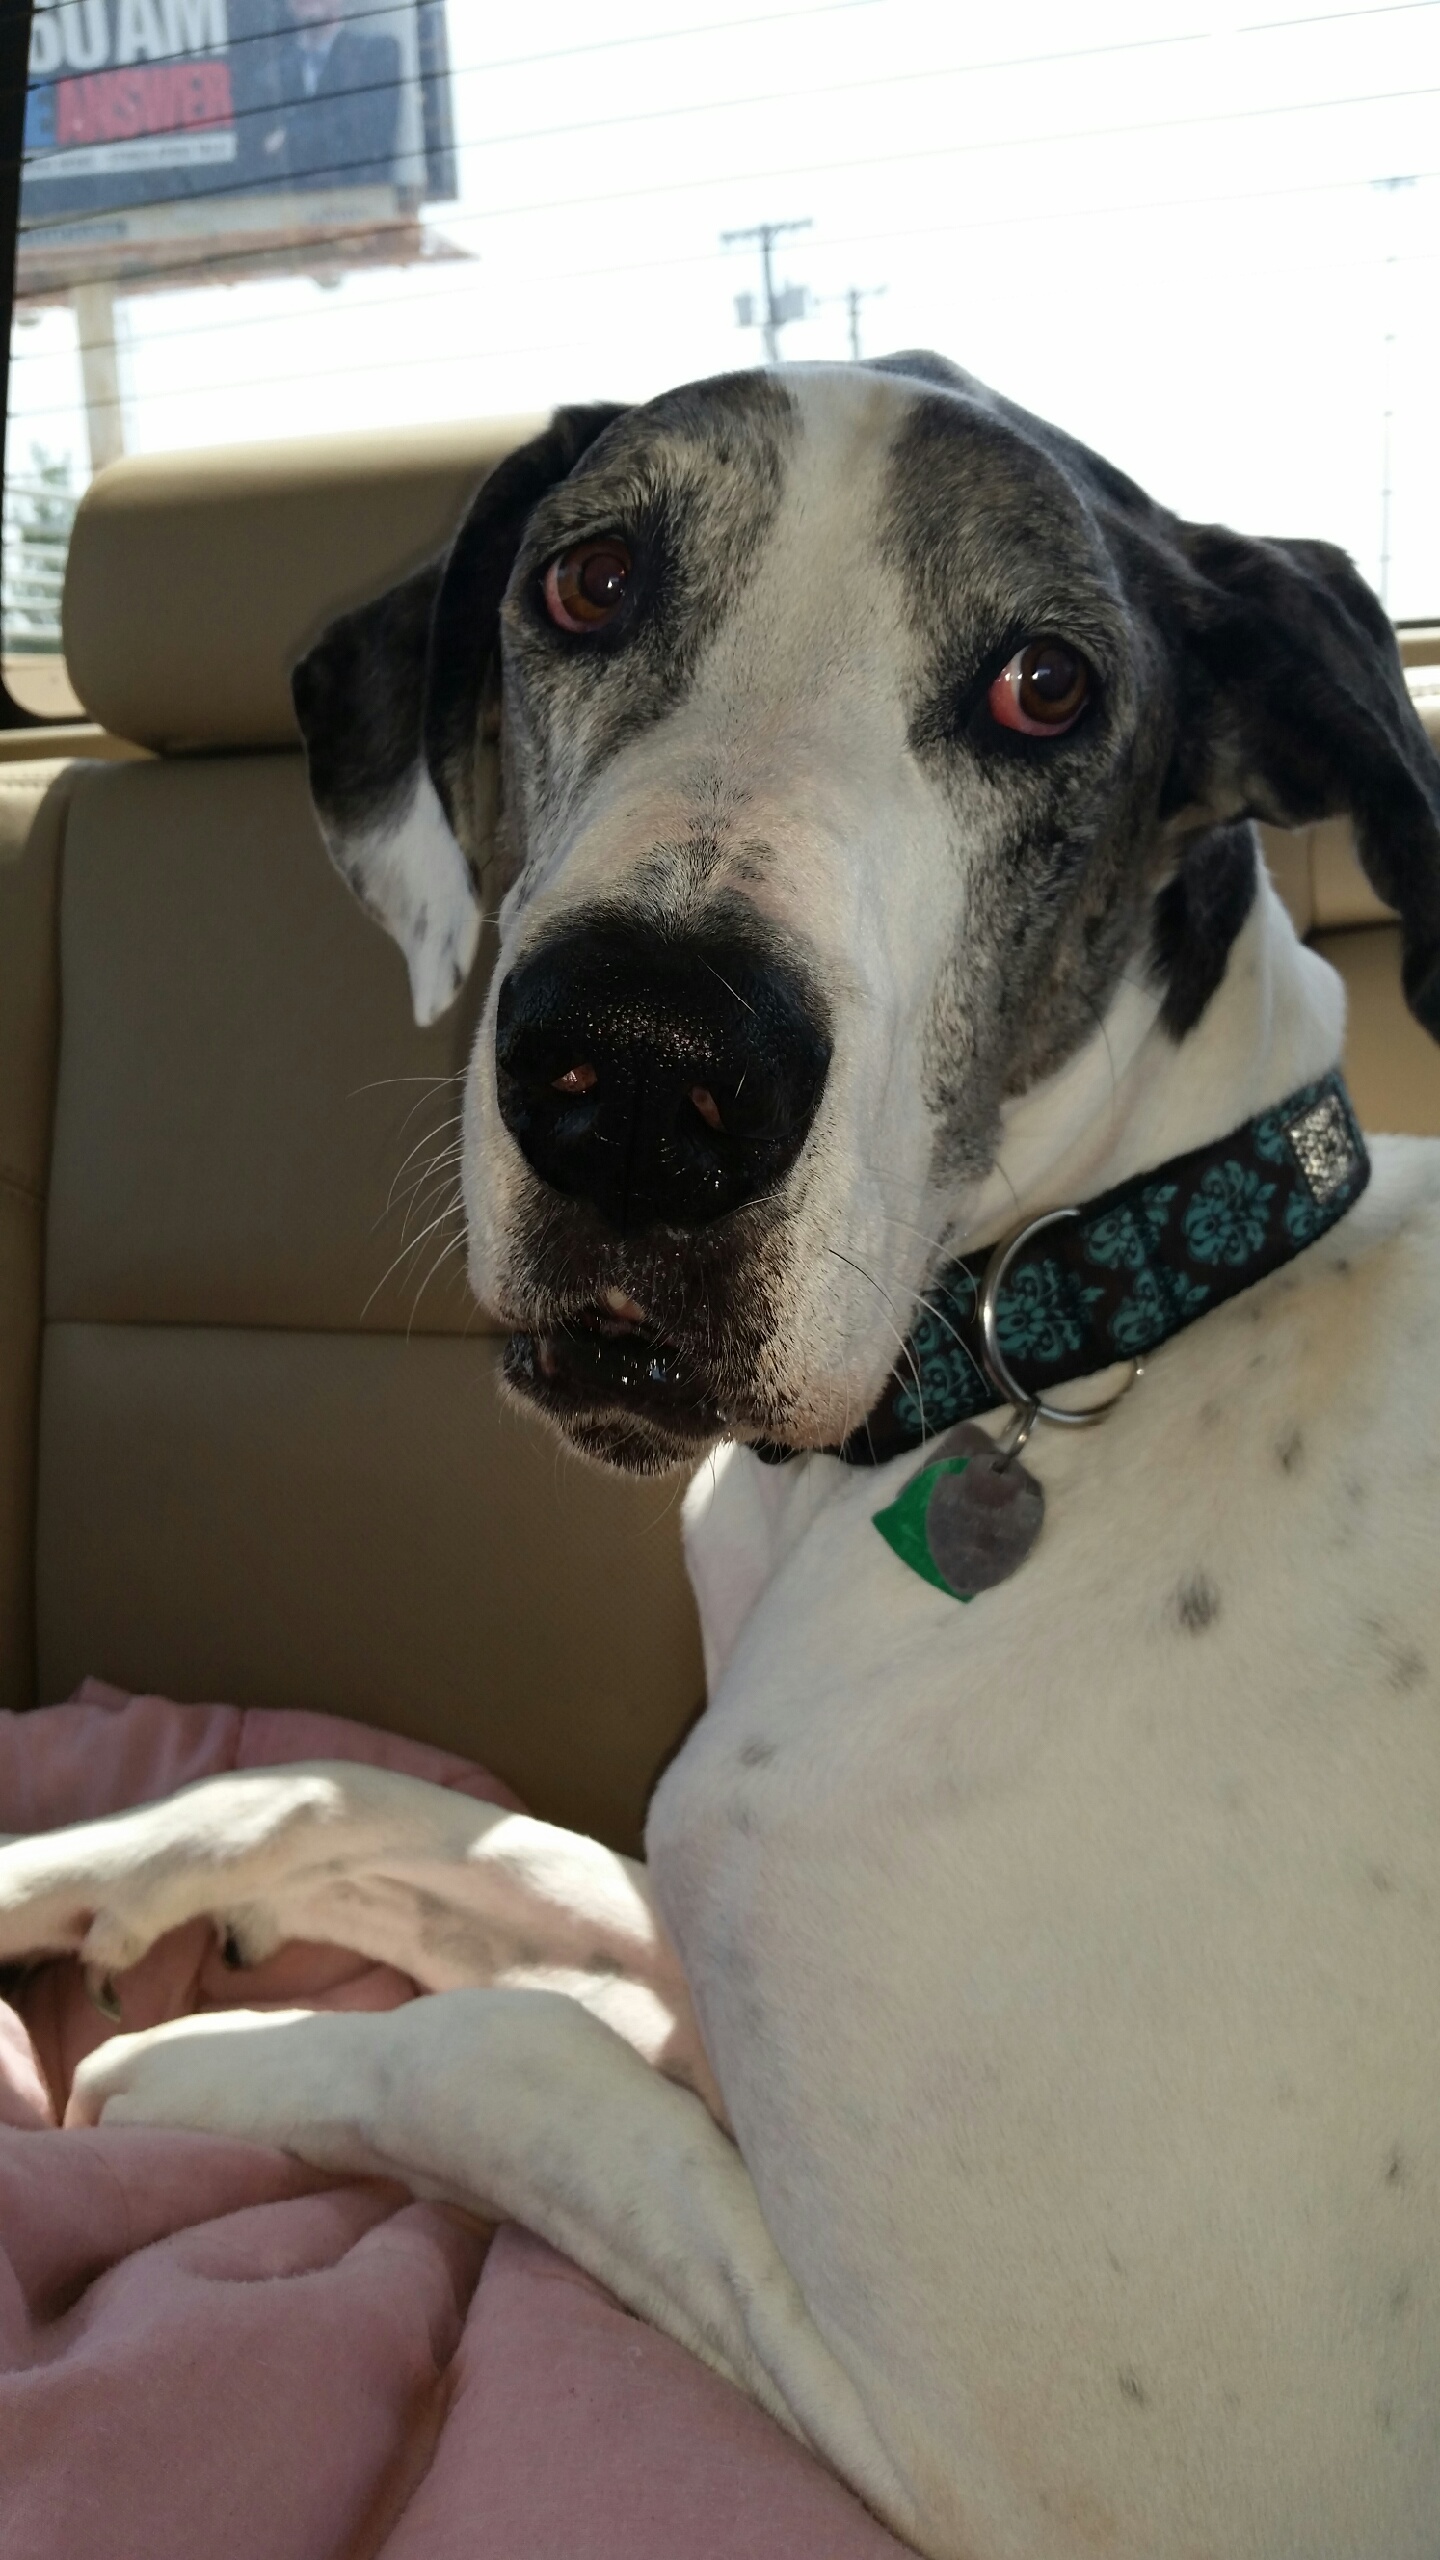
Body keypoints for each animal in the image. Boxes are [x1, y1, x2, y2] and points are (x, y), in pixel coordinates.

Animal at [4, 355, 1440, 2560]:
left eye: (1043, 688)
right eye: (590, 579)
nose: (644, 1074)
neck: (1090, 1308)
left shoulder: (1024, 2454)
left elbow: (508, 2046)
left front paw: (199, 2061)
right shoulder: (687, 1894)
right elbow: (417, 1816)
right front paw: (98, 1874)